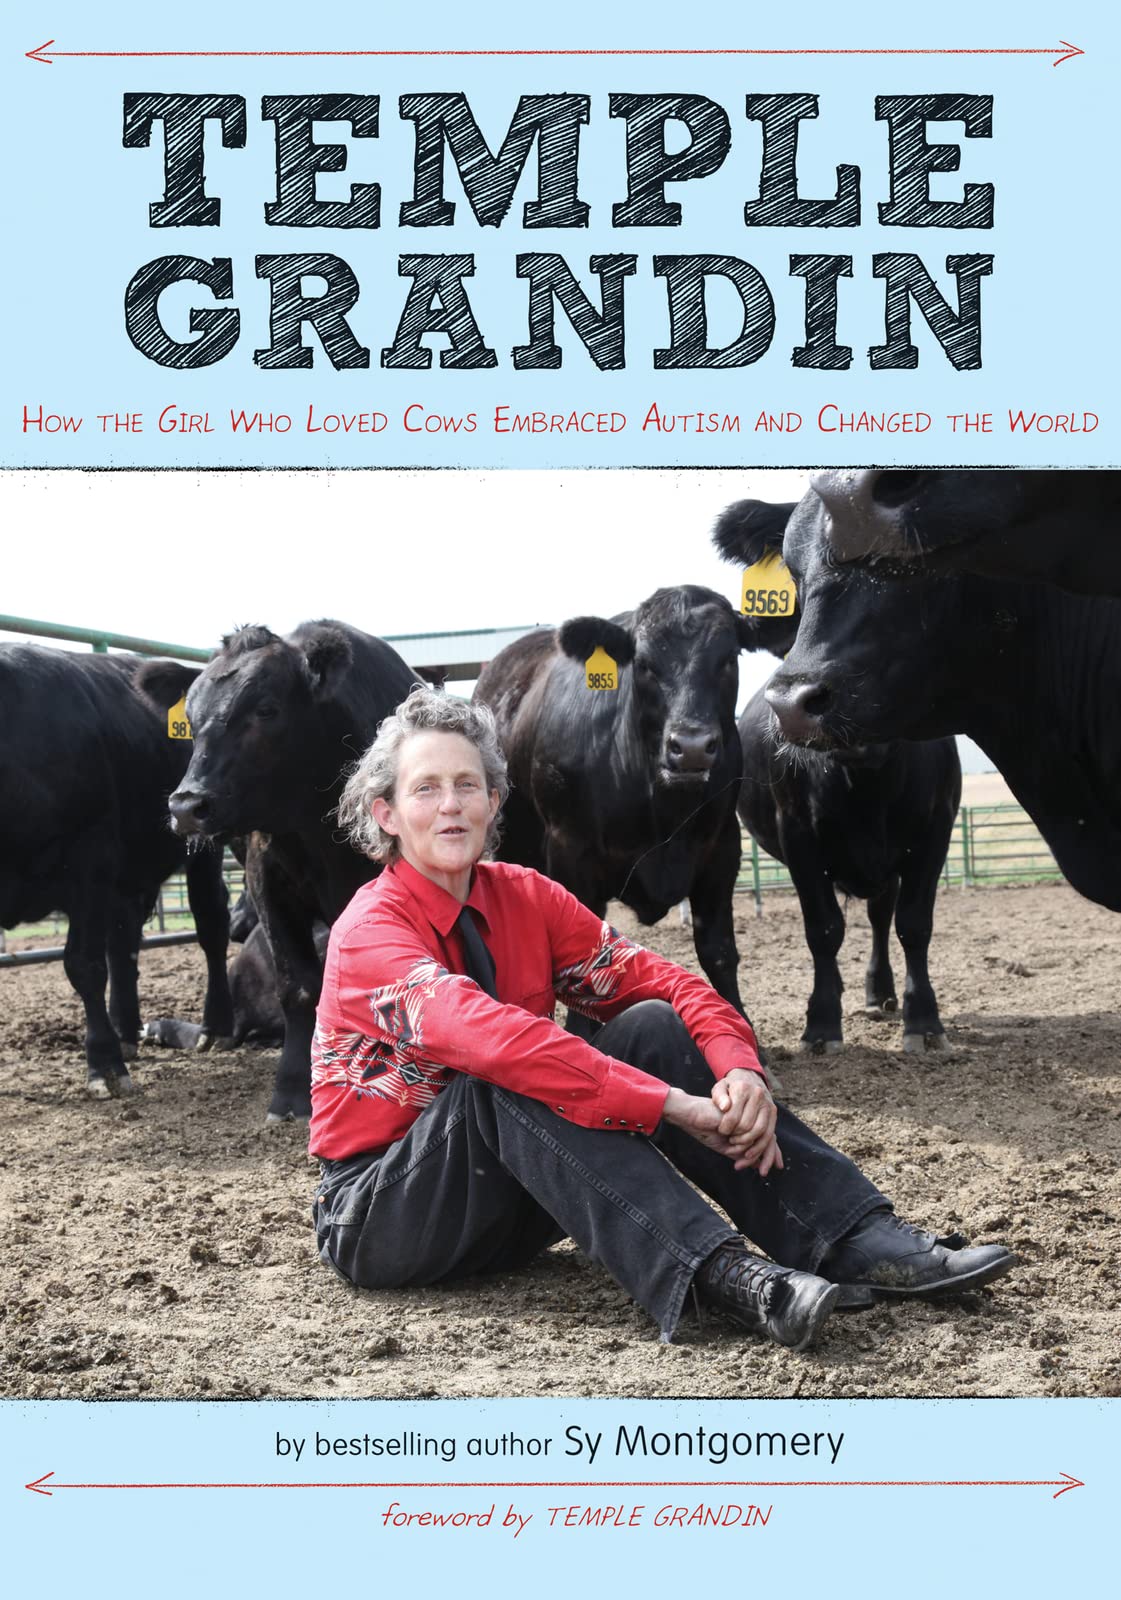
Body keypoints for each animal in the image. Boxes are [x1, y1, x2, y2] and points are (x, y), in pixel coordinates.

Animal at [0, 644, 233, 1096]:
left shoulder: (91, 859)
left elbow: (84, 965)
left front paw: (105, 1065)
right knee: (125, 942)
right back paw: (126, 1033)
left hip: (201, 843)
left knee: (211, 924)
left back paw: (215, 1027)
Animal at [137, 621, 418, 1121]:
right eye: (189, 717)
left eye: (266, 709)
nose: (187, 805)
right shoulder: (267, 885)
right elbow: (300, 988)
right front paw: (291, 1091)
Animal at [474, 585, 789, 1030]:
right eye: (643, 664)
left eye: (729, 658)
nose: (691, 745)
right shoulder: (571, 852)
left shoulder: (722, 847)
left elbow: (718, 951)